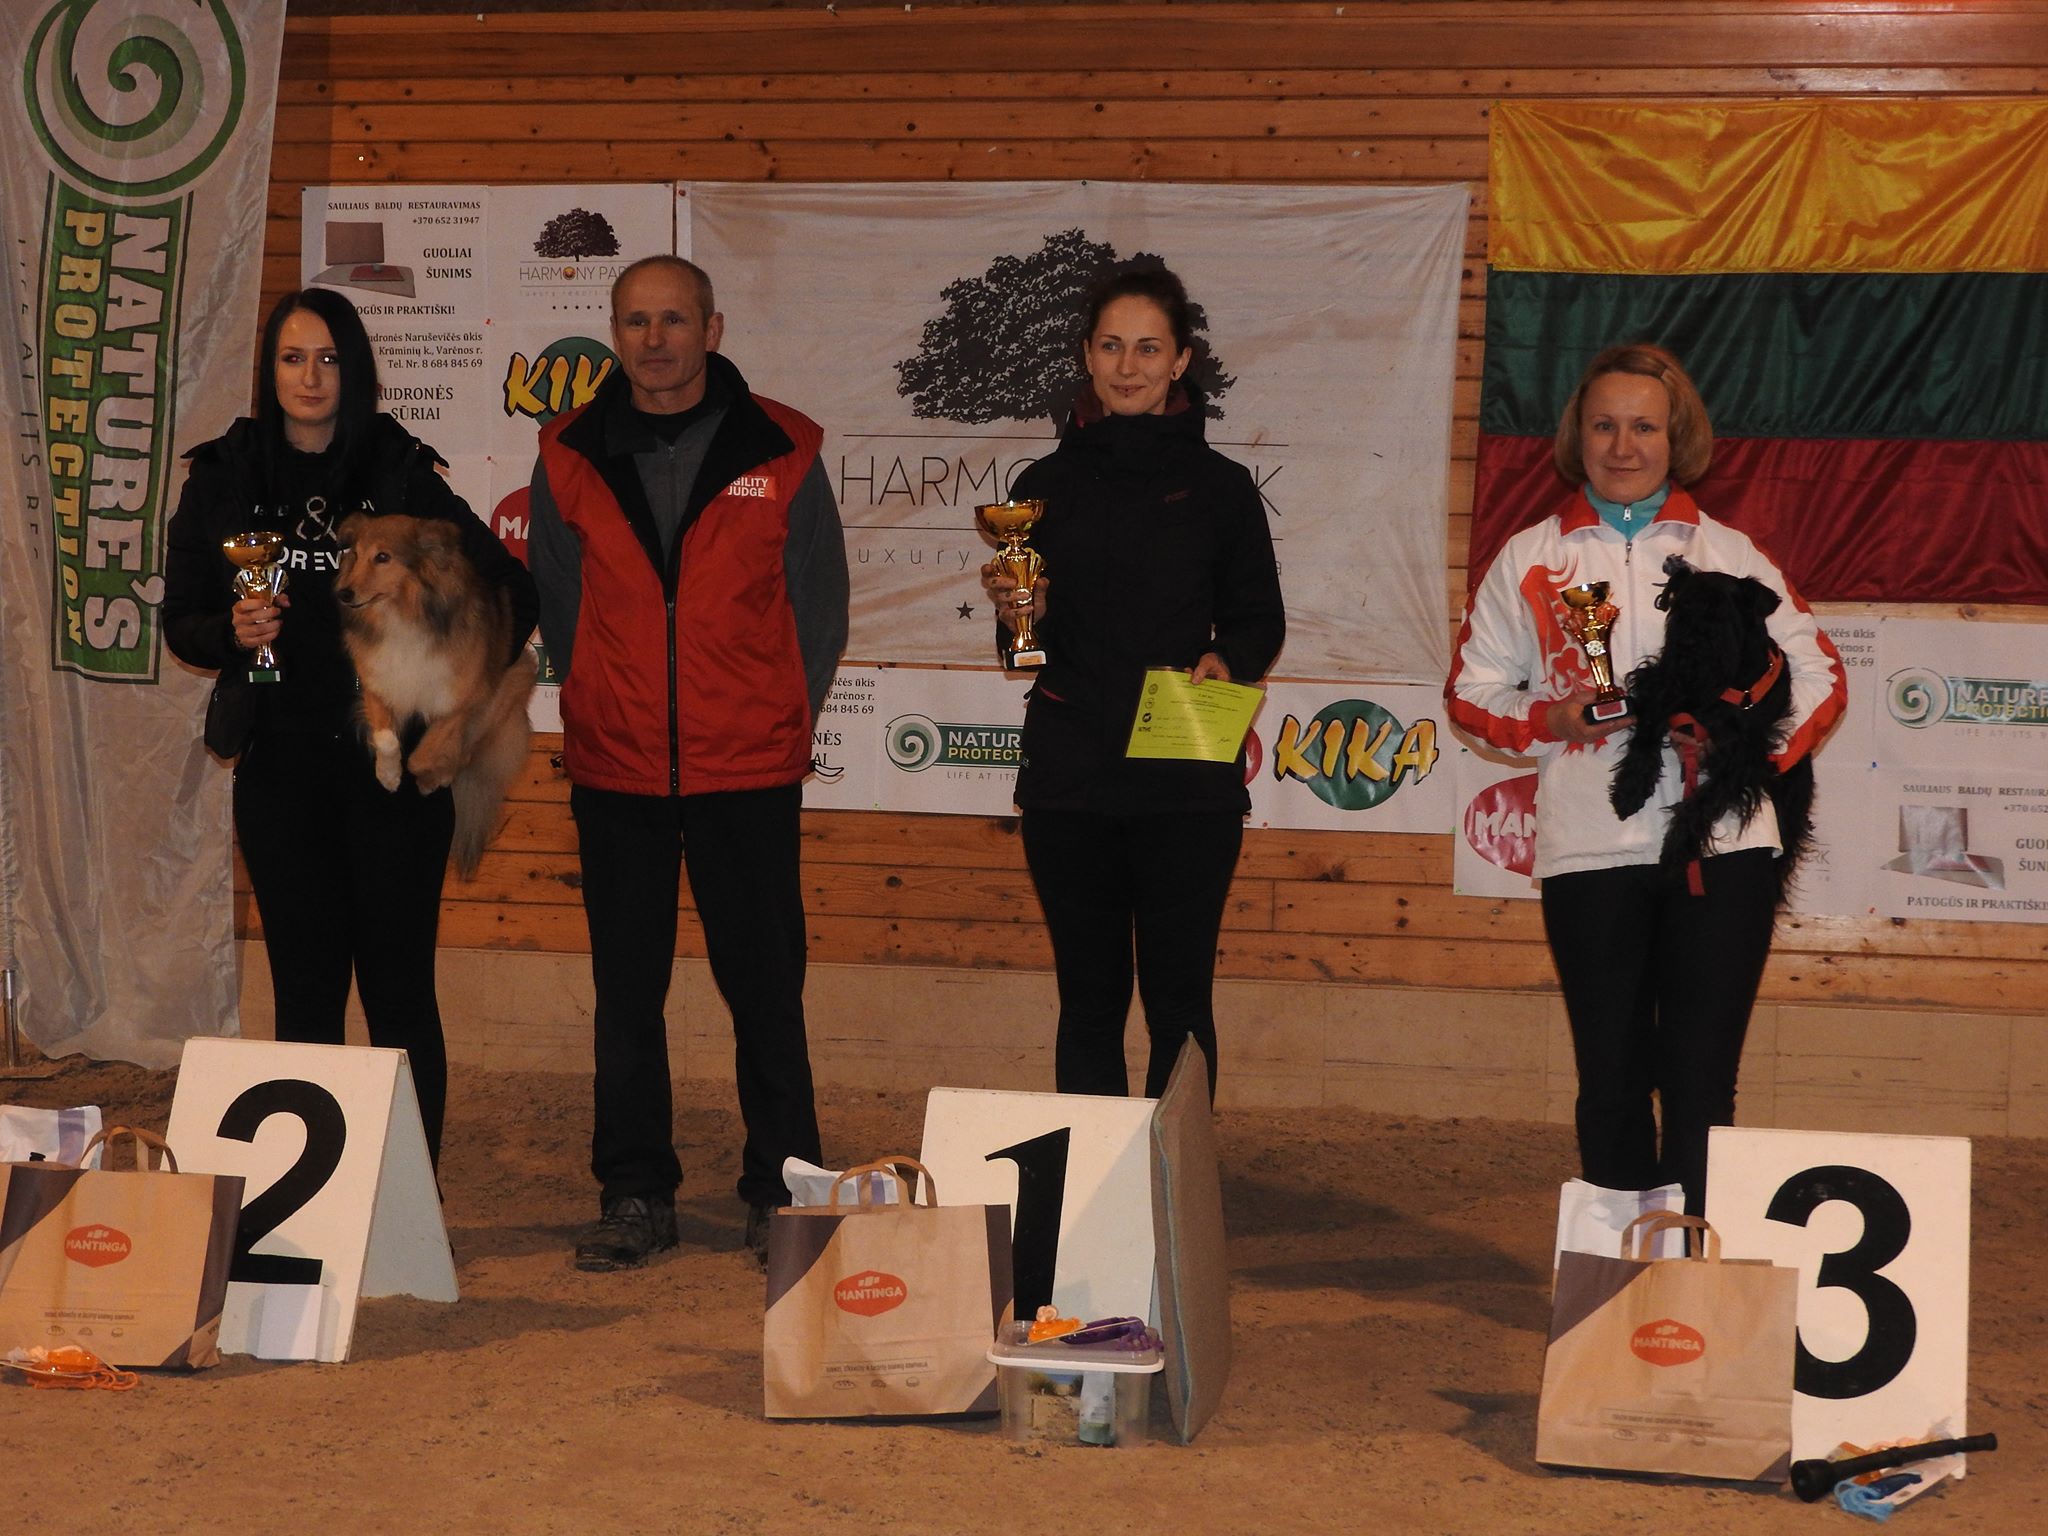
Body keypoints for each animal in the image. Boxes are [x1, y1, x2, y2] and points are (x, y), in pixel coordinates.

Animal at [335, 513, 536, 877]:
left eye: (382, 557)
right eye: (354, 554)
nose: (345, 593)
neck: (402, 615)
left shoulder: (459, 703)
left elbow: (424, 755)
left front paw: (427, 777)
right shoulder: (379, 684)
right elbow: (387, 738)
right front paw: (388, 775)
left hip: (503, 695)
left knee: (466, 753)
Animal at [1608, 555, 1814, 904]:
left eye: (1721, 610)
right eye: (1681, 607)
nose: (1689, 644)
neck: (1721, 688)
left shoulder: (1742, 759)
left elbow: (1702, 802)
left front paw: (1676, 849)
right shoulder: (1663, 686)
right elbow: (1645, 737)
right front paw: (1630, 788)